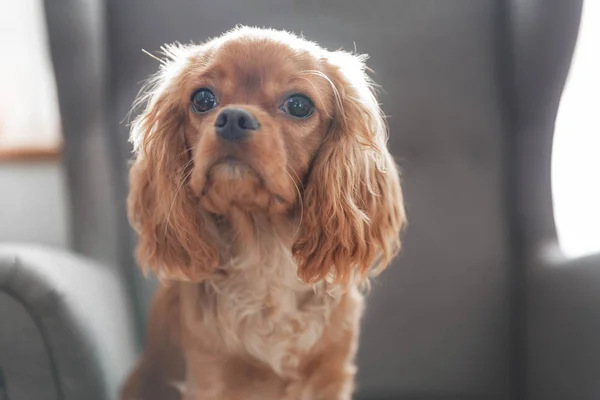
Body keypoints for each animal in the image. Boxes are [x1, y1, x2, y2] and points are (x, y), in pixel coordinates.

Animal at [120, 25, 406, 400]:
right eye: (203, 99)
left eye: (298, 105)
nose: (233, 117)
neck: (266, 254)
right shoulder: (210, 377)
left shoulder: (331, 378)